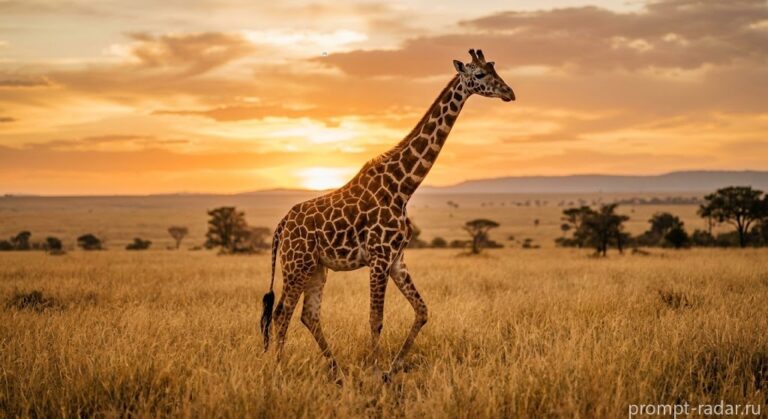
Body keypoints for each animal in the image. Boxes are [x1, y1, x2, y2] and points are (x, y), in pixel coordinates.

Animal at [260, 49, 515, 379]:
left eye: (494, 68)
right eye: (480, 74)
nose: (509, 92)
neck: (403, 187)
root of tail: (281, 225)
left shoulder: (397, 259)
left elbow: (422, 311)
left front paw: (393, 368)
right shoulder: (379, 258)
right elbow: (375, 319)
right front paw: (376, 372)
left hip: (317, 267)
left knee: (308, 315)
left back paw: (337, 372)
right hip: (296, 265)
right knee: (282, 313)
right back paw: (279, 370)